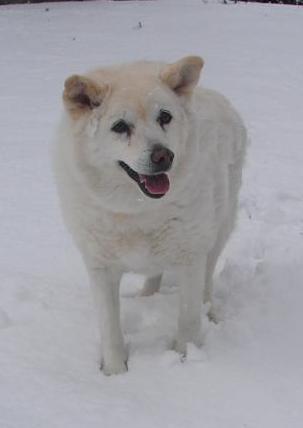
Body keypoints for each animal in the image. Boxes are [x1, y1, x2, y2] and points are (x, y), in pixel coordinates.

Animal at [54, 56, 247, 374]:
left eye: (164, 117)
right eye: (120, 126)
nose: (163, 156)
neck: (137, 212)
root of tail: (214, 94)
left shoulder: (190, 257)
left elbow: (188, 318)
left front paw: (184, 359)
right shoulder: (100, 268)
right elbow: (110, 329)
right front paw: (114, 373)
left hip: (219, 229)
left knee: (207, 281)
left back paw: (210, 313)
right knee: (155, 275)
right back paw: (147, 296)